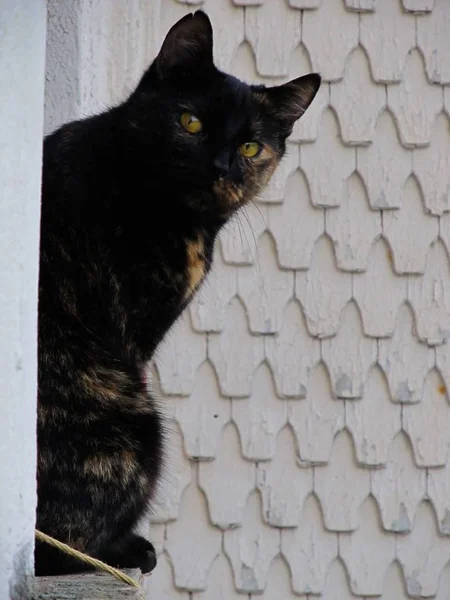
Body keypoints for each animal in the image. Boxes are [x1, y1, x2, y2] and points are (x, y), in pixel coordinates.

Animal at [35, 10, 320, 576]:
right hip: (138, 423)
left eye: (251, 146)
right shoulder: (136, 333)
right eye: (191, 122)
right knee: (62, 549)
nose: (221, 167)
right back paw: (126, 550)